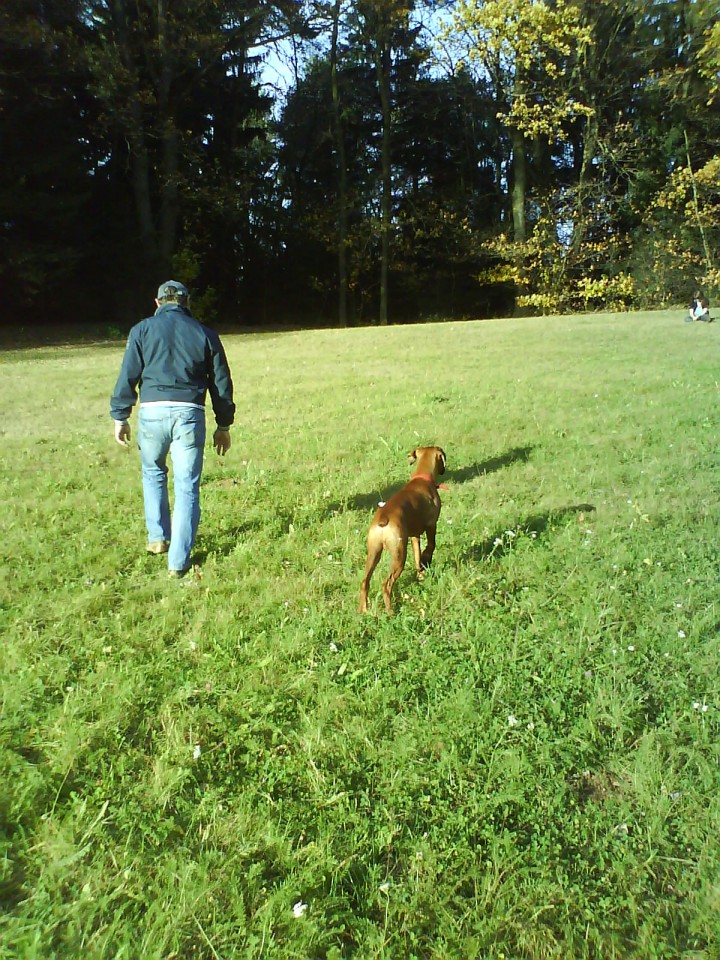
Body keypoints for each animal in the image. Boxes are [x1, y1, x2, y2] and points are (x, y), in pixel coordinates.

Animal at [358, 444, 448, 612]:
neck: (421, 478)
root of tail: (383, 519)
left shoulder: (414, 536)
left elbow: (417, 557)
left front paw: (421, 574)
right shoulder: (431, 525)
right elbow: (431, 546)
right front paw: (426, 559)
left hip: (373, 553)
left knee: (364, 583)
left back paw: (364, 611)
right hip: (399, 555)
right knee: (386, 585)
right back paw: (390, 612)